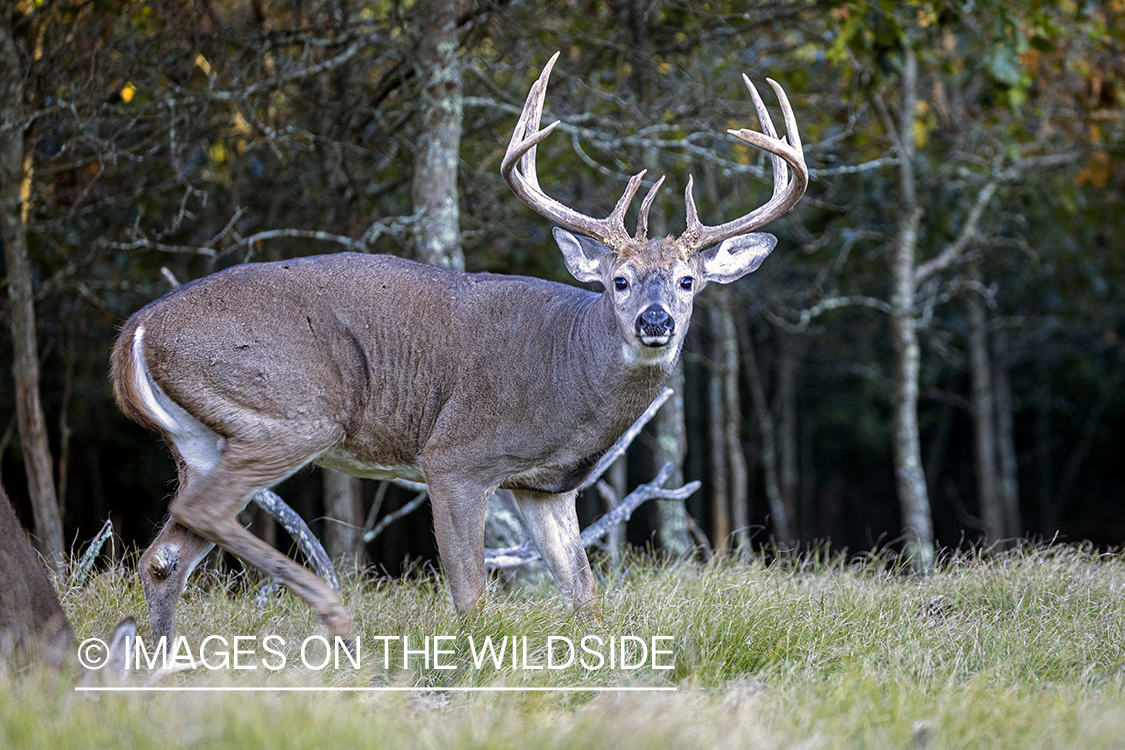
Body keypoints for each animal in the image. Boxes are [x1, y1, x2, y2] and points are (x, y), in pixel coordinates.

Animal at [109, 52, 805, 643]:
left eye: (689, 281)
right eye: (620, 280)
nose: (655, 321)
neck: (569, 377)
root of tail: (132, 334)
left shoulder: (545, 486)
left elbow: (585, 595)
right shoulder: (455, 458)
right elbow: (471, 596)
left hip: (202, 439)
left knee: (165, 554)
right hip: (288, 411)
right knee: (203, 516)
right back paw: (329, 608)